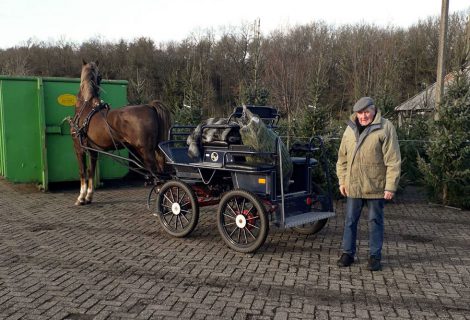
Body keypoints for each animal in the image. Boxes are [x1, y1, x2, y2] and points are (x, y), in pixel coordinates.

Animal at [71, 60, 171, 205]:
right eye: (100, 76)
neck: (86, 108)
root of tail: (149, 106)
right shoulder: (93, 150)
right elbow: (90, 171)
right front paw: (89, 196)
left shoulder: (79, 148)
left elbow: (82, 172)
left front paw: (81, 197)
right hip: (156, 150)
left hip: (146, 152)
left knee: (158, 177)